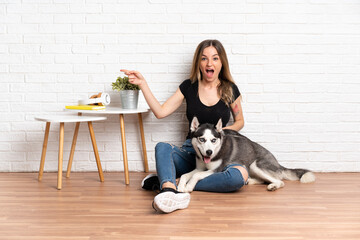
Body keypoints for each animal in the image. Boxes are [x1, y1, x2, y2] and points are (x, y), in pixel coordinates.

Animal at [177, 117, 316, 194]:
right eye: (202, 139)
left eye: (213, 140)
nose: (209, 152)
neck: (217, 151)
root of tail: (278, 163)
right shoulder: (199, 167)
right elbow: (185, 175)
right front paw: (181, 185)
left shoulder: (216, 170)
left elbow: (196, 175)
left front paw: (189, 186)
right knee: (263, 179)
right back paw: (251, 181)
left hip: (256, 165)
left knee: (279, 181)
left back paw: (273, 186)